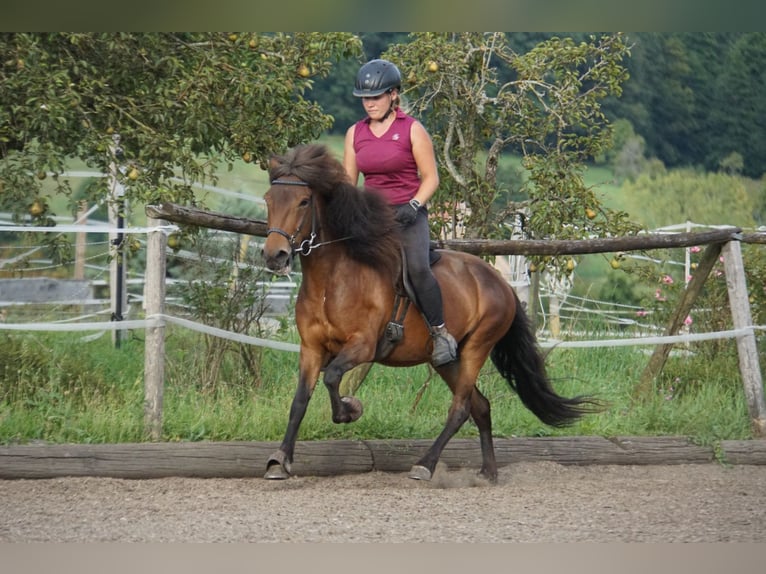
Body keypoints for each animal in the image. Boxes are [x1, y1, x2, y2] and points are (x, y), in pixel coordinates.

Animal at [260, 142, 596, 484]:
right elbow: (300, 400)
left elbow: (332, 378)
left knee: (461, 408)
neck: (331, 281)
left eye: (303, 201)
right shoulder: (311, 348)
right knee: (481, 406)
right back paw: (488, 472)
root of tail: (499, 281)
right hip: (446, 360)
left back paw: (426, 465)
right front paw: (280, 461)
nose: (275, 255)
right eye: (268, 199)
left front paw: (351, 409)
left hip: (478, 346)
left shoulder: (362, 346)